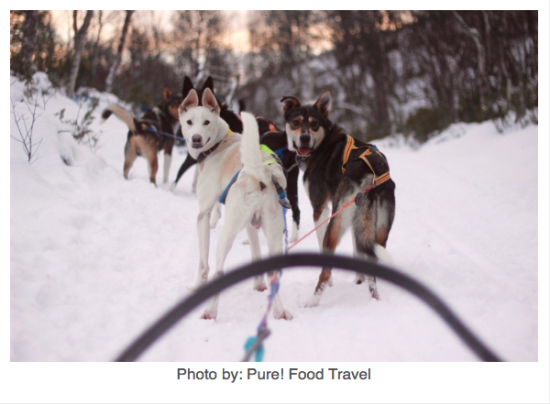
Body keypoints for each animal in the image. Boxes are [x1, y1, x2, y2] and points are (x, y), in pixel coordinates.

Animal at [180, 87, 294, 318]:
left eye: (206, 122)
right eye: (189, 122)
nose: (196, 138)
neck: (219, 145)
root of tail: (261, 173)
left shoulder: (203, 215)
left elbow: (203, 264)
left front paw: (196, 287)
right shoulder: (251, 226)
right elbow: (256, 254)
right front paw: (258, 285)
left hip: (228, 232)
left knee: (218, 270)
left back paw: (209, 311)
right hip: (274, 232)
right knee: (273, 274)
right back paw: (279, 312)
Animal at [284, 90, 396, 306]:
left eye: (314, 124)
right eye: (296, 122)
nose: (304, 138)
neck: (323, 145)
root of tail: (372, 176)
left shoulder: (321, 209)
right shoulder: (356, 221)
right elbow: (357, 249)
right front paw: (358, 279)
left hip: (336, 221)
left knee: (325, 271)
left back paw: (312, 301)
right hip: (378, 229)